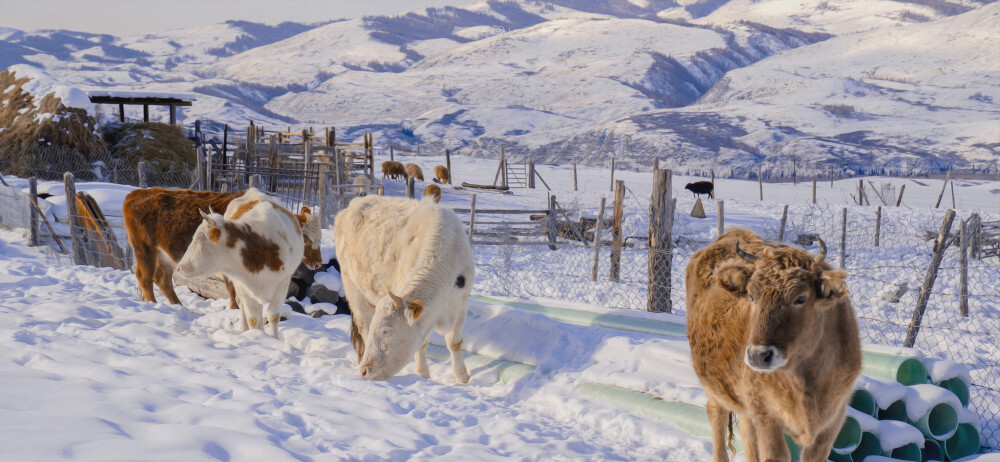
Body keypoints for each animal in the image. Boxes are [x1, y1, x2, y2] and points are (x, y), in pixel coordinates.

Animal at [123, 188, 322, 306]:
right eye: (306, 239)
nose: (319, 263)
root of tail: (137, 192)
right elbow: (233, 291)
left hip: (164, 255)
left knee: (161, 278)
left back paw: (178, 306)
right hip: (144, 249)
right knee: (145, 278)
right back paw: (153, 304)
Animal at [174, 186, 304, 338]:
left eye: (199, 239)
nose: (179, 267)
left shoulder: (282, 284)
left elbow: (273, 316)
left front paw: (273, 339)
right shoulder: (244, 286)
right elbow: (252, 318)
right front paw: (256, 336)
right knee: (244, 307)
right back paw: (243, 329)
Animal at [334, 194, 474, 382]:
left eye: (386, 331)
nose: (364, 371)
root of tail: (351, 204)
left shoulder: (461, 303)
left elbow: (454, 342)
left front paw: (462, 377)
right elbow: (422, 343)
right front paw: (423, 374)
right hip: (352, 286)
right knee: (363, 323)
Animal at [684, 228, 864, 462]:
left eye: (800, 298)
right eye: (751, 296)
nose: (758, 355)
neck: (805, 381)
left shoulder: (832, 420)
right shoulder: (766, 414)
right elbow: (774, 454)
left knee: (747, 433)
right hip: (714, 390)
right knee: (717, 420)